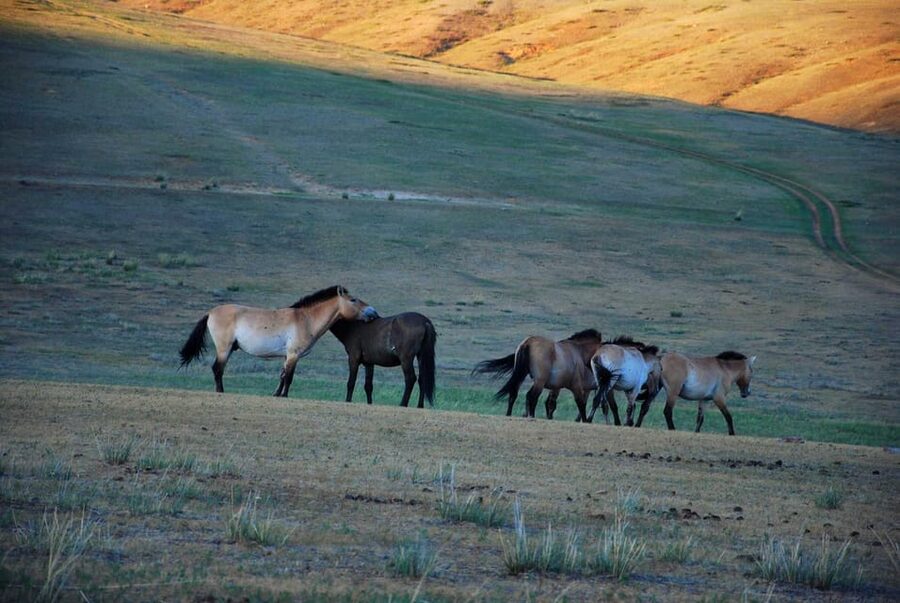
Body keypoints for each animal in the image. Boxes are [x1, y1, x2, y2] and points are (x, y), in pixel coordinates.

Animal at [179, 285, 378, 397]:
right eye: (353, 300)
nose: (373, 313)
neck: (305, 319)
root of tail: (210, 312)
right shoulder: (293, 355)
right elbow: (289, 378)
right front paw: (284, 396)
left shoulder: (286, 356)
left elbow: (282, 376)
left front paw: (275, 394)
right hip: (224, 349)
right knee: (217, 369)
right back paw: (220, 392)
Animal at [472, 329, 604, 421]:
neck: (576, 351)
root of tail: (528, 342)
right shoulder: (576, 386)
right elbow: (581, 404)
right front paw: (585, 420)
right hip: (539, 381)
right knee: (532, 396)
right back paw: (531, 416)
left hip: (522, 376)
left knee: (514, 394)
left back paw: (510, 414)